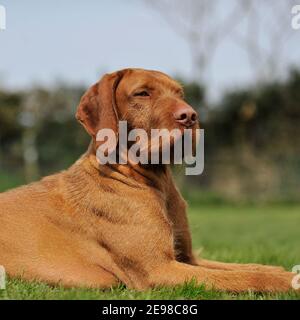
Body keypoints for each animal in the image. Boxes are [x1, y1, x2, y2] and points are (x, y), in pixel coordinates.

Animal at [0, 68, 296, 292]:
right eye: (142, 93)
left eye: (180, 94)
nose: (190, 116)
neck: (156, 181)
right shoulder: (159, 269)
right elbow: (245, 277)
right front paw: (288, 281)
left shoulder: (188, 257)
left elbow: (244, 268)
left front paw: (282, 270)